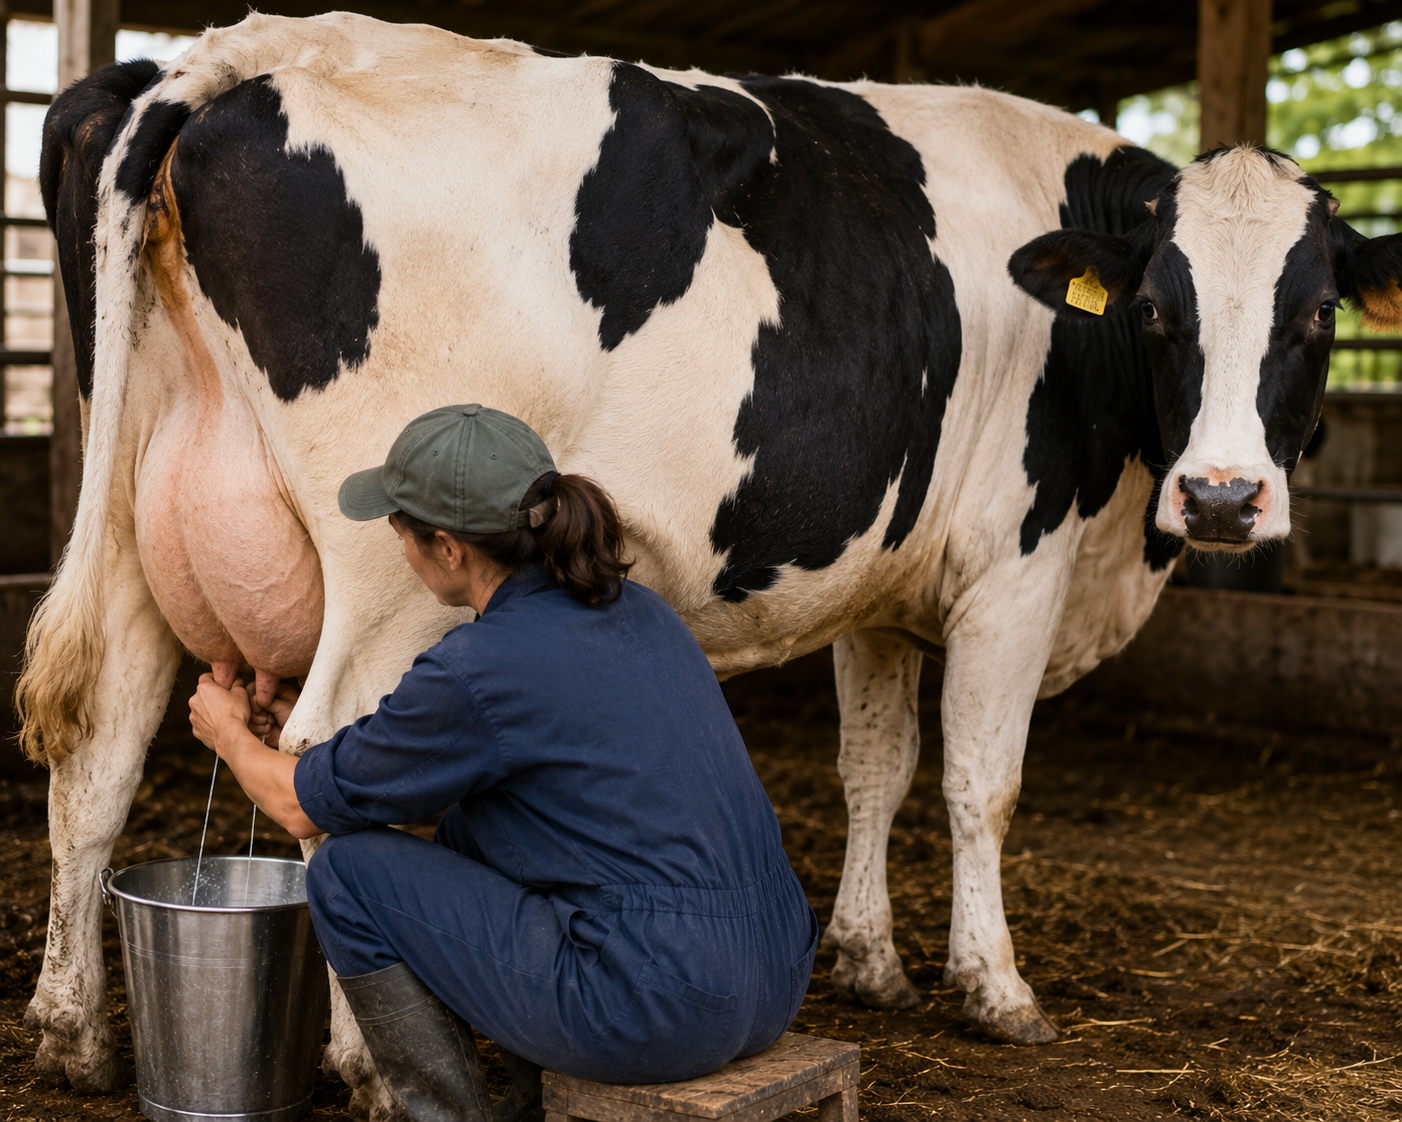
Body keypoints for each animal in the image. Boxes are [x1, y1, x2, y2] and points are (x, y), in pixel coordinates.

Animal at [20, 12, 1402, 1116]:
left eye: (1317, 314)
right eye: (1160, 312)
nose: (1222, 496)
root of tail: (258, 48)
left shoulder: (879, 588)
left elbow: (875, 769)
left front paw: (868, 961)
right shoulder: (1016, 563)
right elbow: (980, 784)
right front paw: (996, 990)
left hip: (136, 521)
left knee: (97, 746)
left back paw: (72, 1035)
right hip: (385, 570)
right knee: (319, 758)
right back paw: (363, 1066)